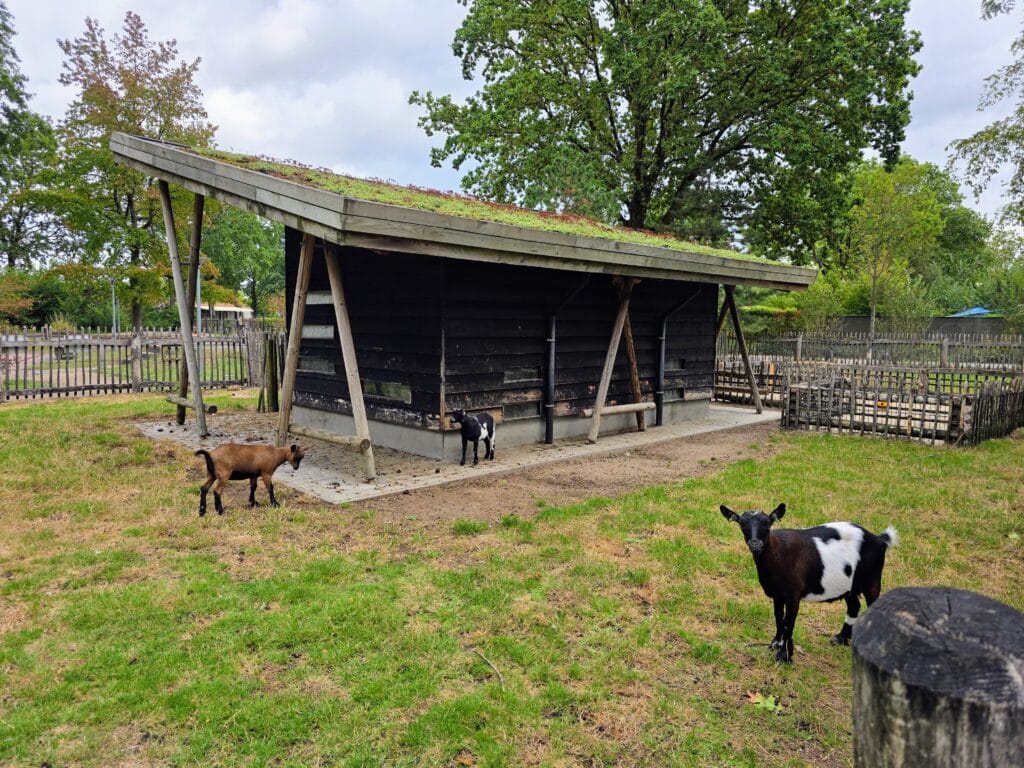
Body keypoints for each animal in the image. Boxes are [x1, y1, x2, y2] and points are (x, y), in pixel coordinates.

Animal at [720, 503, 898, 663]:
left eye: (767, 524)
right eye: (742, 524)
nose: (755, 544)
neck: (778, 552)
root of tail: (880, 539)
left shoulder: (793, 595)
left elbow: (788, 622)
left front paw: (784, 656)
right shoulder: (777, 594)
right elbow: (778, 617)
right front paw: (775, 644)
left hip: (872, 580)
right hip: (849, 585)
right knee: (854, 605)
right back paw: (840, 639)